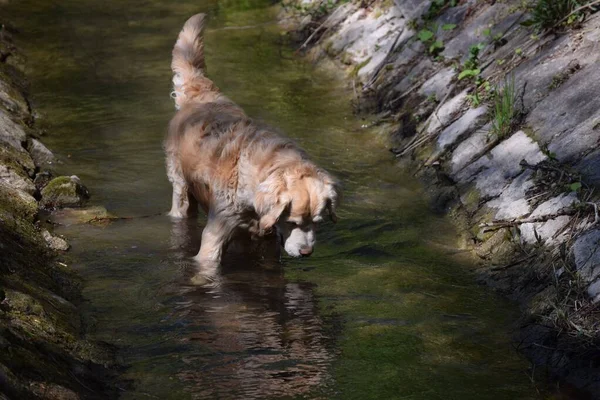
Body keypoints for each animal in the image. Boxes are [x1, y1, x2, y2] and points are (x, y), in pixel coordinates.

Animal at [164, 14, 342, 268]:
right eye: (293, 222)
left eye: (317, 222)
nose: (307, 252)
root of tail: (201, 95)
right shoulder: (217, 229)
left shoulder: (268, 239)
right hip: (181, 187)